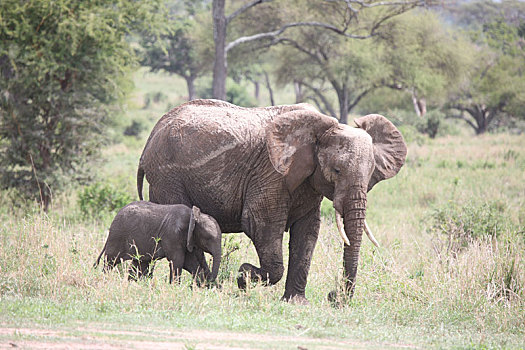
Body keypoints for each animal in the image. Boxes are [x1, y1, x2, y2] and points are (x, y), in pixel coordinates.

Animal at [136, 99, 406, 304]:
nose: (334, 297)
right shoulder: (270, 173)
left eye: (371, 173)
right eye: (337, 170)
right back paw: (209, 287)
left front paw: (296, 302)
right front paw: (243, 276)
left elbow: (308, 232)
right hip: (167, 177)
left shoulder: (308, 182)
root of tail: (152, 134)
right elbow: (260, 224)